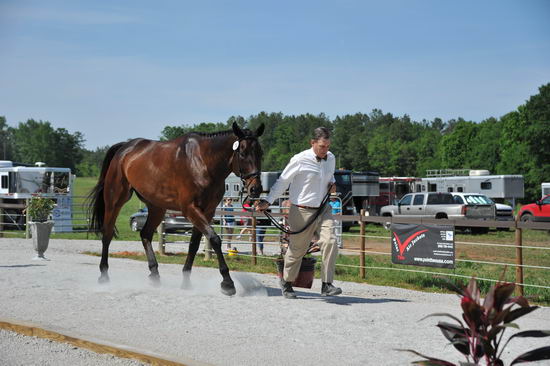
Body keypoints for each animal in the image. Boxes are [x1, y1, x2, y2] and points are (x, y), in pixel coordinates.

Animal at [88, 121, 266, 296]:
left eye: (260, 153)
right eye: (242, 153)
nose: (255, 189)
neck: (203, 162)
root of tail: (125, 148)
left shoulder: (207, 212)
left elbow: (194, 245)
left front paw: (186, 282)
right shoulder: (191, 209)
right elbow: (214, 239)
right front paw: (227, 283)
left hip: (156, 207)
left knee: (145, 234)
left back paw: (155, 274)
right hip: (115, 201)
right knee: (107, 234)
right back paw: (104, 276)